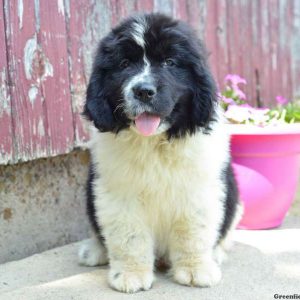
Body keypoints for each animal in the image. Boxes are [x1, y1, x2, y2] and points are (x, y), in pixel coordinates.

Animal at [78, 12, 243, 292]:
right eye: (124, 63)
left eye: (170, 62)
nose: (143, 91)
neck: (155, 143)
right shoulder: (118, 193)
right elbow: (129, 235)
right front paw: (131, 274)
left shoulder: (199, 190)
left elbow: (193, 232)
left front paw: (195, 269)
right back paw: (94, 251)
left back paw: (217, 254)